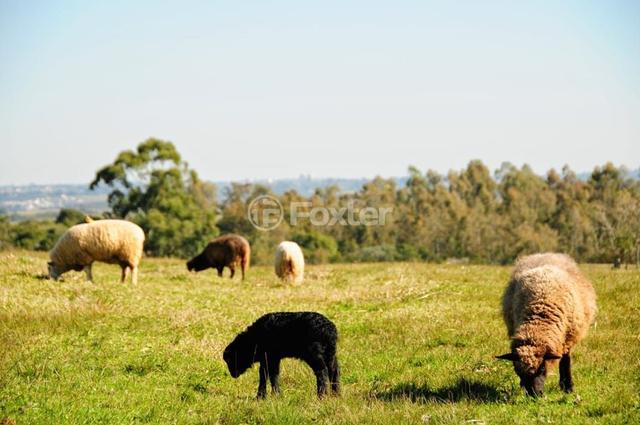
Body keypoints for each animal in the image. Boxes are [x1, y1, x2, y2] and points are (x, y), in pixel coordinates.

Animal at [498, 252, 596, 394]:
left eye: (542, 368)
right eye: (518, 372)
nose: (534, 395)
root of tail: (545, 253)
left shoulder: (567, 338)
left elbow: (565, 360)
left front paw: (568, 387)